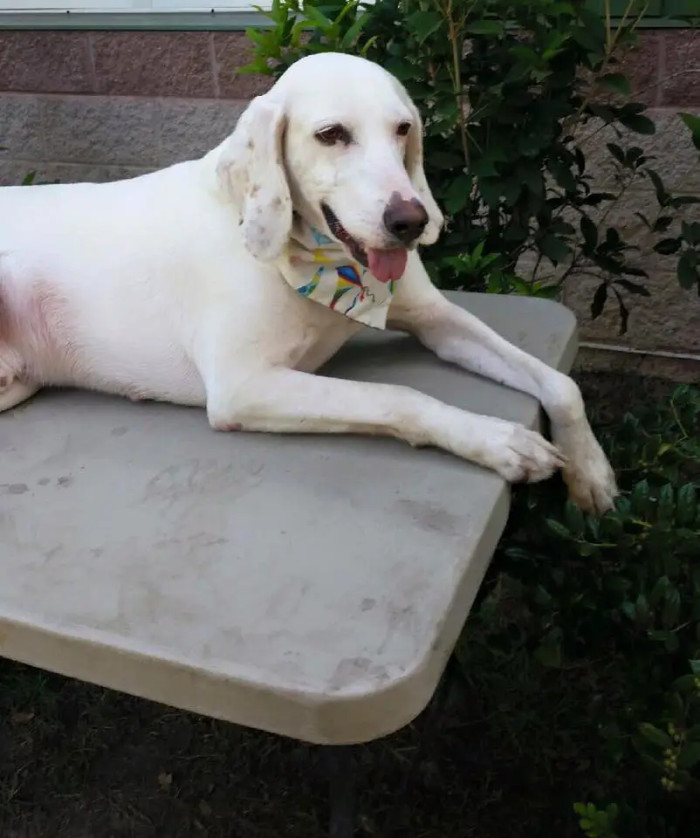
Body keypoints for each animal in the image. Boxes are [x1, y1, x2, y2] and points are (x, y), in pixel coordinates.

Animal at [0, 52, 612, 516]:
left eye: (403, 129)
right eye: (331, 134)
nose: (410, 222)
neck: (321, 265)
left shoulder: (438, 320)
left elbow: (562, 383)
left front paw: (591, 471)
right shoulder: (242, 386)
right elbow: (398, 396)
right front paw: (498, 440)